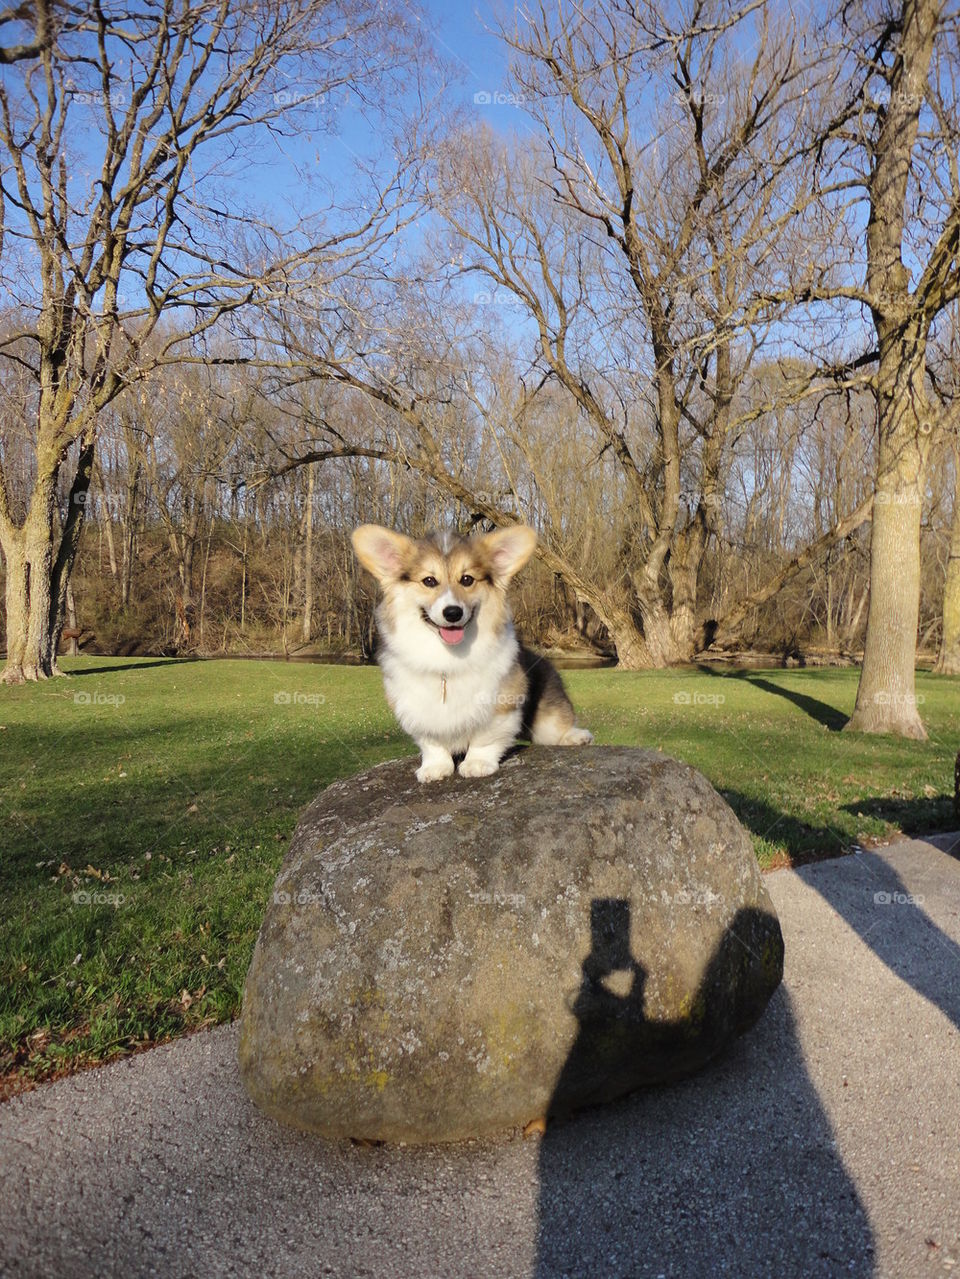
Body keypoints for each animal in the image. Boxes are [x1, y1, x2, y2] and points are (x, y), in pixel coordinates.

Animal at [352, 524, 593, 782]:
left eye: (467, 579)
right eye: (429, 581)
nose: (453, 613)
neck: (447, 655)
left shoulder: (501, 704)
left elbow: (485, 738)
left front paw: (477, 763)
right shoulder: (415, 708)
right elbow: (432, 743)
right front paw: (435, 767)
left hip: (548, 719)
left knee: (557, 729)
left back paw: (577, 737)